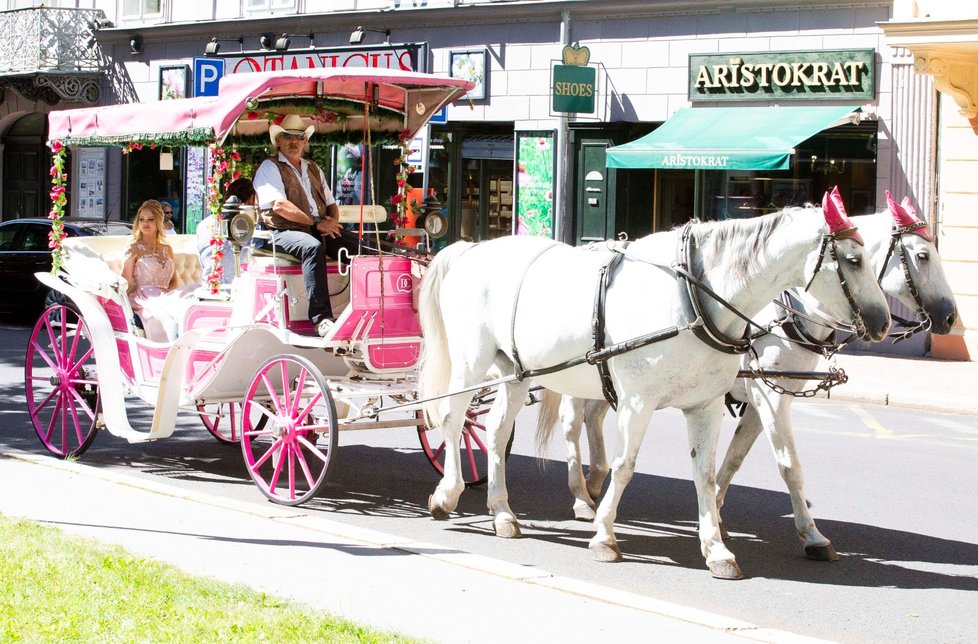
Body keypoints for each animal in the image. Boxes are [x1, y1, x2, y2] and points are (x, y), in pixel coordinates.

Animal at [416, 191, 888, 580]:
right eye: (853, 259)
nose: (882, 322)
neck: (696, 298)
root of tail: (471, 247)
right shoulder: (640, 402)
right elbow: (625, 465)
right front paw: (605, 534)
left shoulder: (707, 404)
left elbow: (707, 473)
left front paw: (716, 547)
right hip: (471, 363)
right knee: (454, 420)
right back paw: (449, 493)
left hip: (517, 371)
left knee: (496, 432)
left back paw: (502, 512)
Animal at [532, 190, 952, 560]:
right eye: (922, 255)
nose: (950, 316)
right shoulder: (771, 398)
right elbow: (789, 466)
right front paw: (812, 535)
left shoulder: (757, 402)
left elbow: (731, 460)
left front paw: (714, 517)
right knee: (572, 422)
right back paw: (581, 496)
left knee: (593, 417)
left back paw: (594, 482)